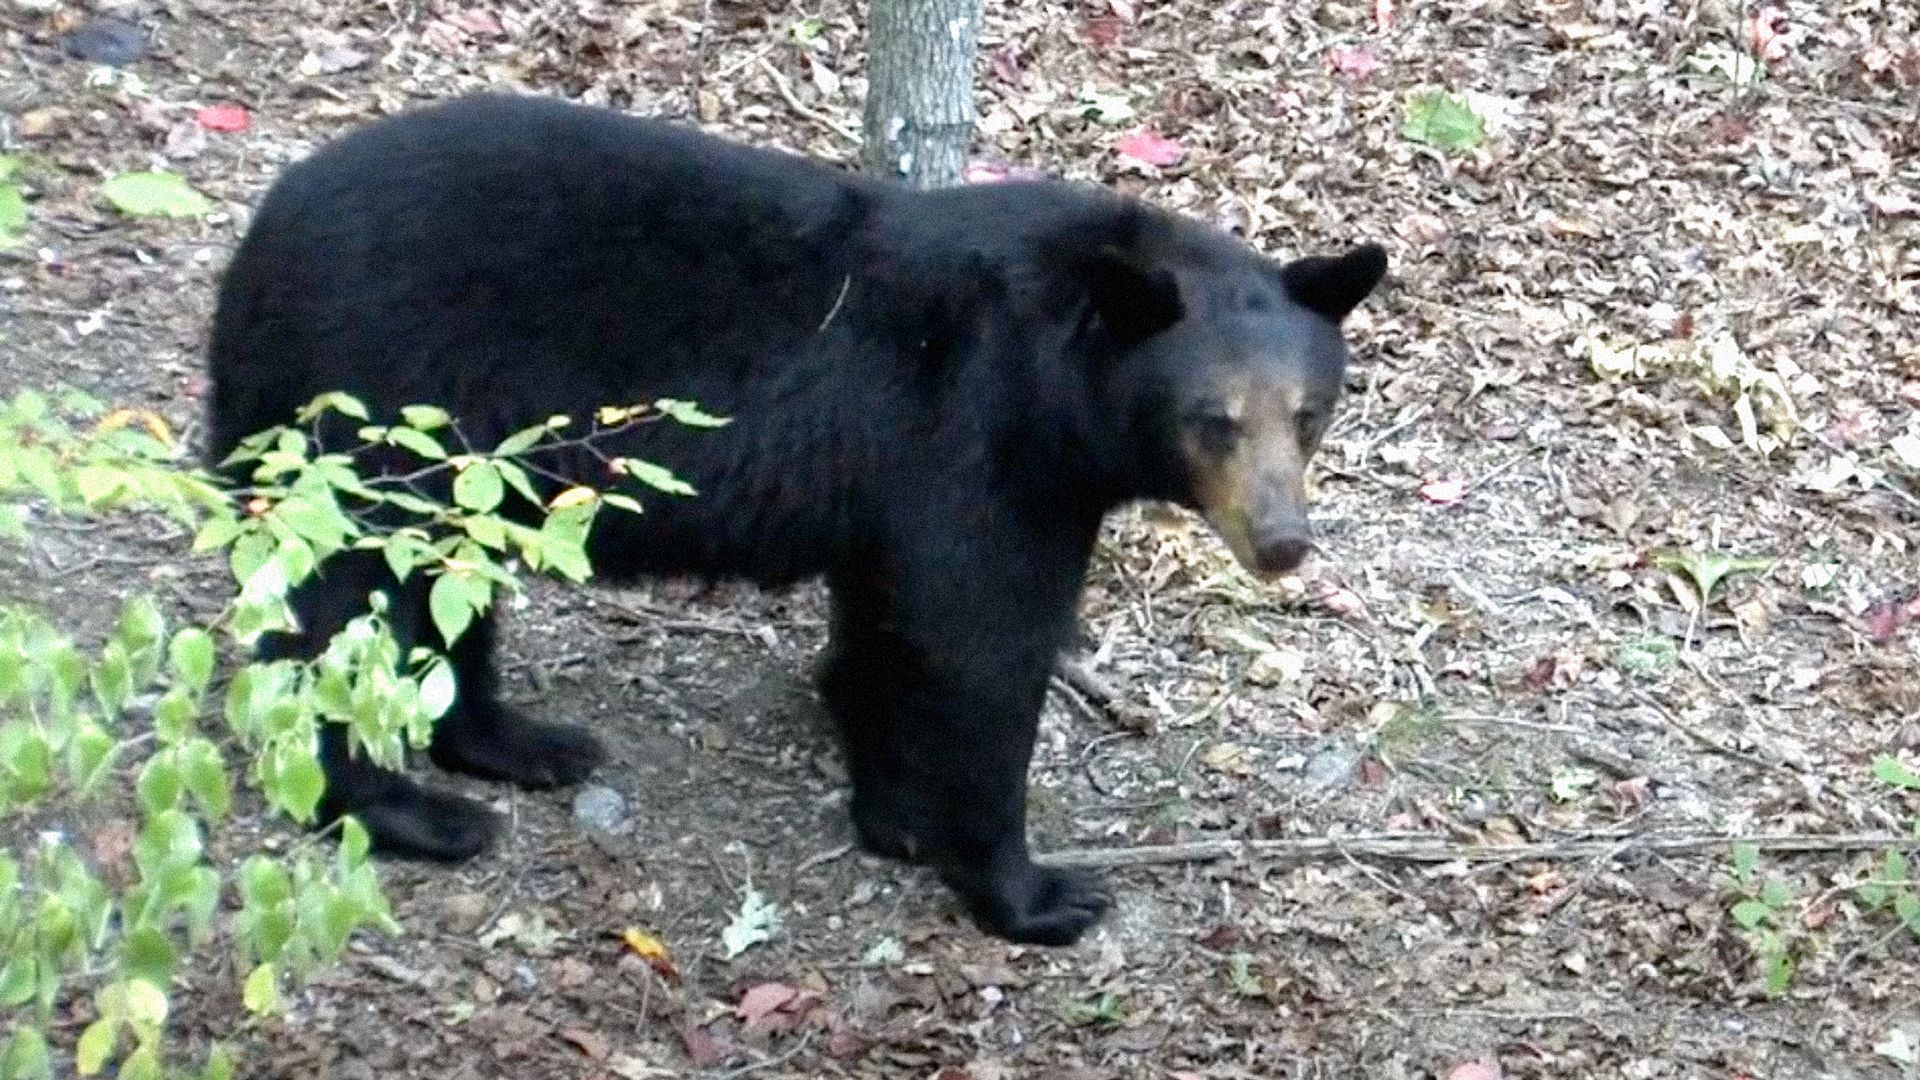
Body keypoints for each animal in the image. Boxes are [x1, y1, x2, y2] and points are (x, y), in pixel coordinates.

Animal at [204, 92, 1387, 946]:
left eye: (1308, 412)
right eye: (1212, 419)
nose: (1283, 542)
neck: (1063, 378)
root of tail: (257, 242)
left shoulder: (913, 481)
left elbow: (888, 623)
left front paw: (894, 811)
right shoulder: (983, 443)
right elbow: (980, 646)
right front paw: (1032, 890)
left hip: (455, 468)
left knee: (444, 589)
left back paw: (521, 742)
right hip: (365, 411)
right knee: (339, 609)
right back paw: (404, 810)